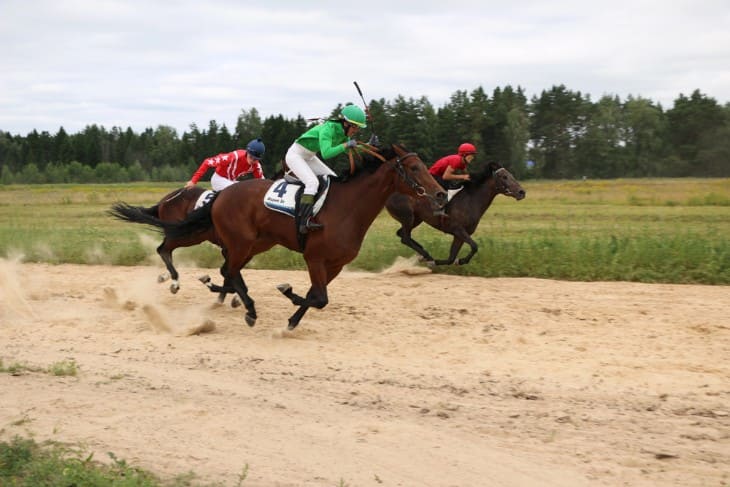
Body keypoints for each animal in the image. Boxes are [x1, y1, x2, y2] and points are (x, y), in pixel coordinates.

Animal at [111, 143, 446, 330]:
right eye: (414, 167)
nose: (441, 194)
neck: (347, 207)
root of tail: (220, 197)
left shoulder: (335, 264)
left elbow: (317, 297)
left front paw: (291, 319)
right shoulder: (314, 257)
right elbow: (319, 296)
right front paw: (285, 294)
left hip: (252, 243)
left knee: (227, 269)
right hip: (230, 239)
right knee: (174, 250)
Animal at [386, 162, 524, 264]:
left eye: (511, 175)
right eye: (504, 177)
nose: (522, 192)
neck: (471, 200)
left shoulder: (460, 235)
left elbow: (451, 258)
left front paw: (455, 261)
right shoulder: (458, 229)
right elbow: (474, 246)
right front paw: (459, 260)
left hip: (416, 219)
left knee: (402, 234)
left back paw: (422, 252)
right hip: (408, 216)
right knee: (405, 238)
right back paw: (426, 255)